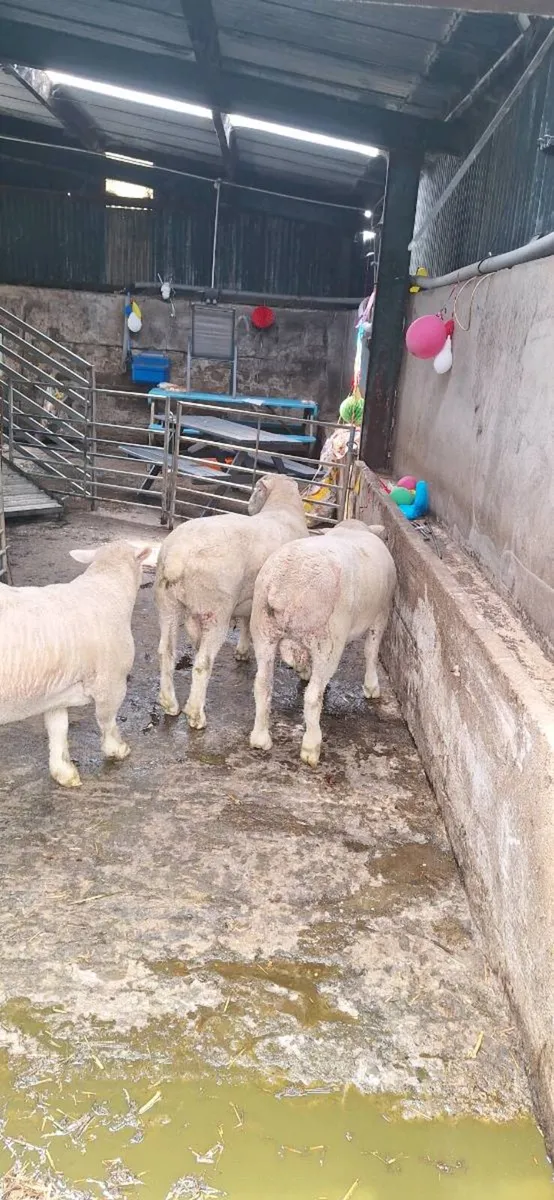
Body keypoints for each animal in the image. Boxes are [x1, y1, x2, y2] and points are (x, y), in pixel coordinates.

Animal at [0, 541, 153, 787]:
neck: (108, 588)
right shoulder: (111, 682)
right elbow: (107, 720)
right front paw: (117, 749)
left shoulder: (53, 690)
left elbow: (58, 728)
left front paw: (64, 772)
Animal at [155, 474, 309, 730]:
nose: (248, 506)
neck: (282, 506)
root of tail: (177, 555)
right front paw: (304, 669)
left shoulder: (250, 599)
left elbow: (246, 622)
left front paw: (243, 650)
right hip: (216, 611)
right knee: (202, 663)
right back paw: (195, 715)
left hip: (168, 603)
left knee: (166, 652)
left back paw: (170, 703)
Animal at [249, 519, 397, 767]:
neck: (351, 529)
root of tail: (285, 584)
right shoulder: (381, 613)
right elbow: (370, 651)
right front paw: (371, 686)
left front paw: (304, 670)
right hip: (327, 640)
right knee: (312, 696)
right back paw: (311, 746)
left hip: (263, 631)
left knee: (262, 685)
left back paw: (260, 738)